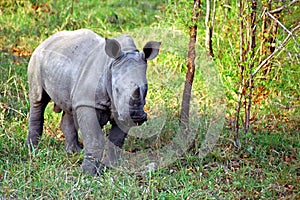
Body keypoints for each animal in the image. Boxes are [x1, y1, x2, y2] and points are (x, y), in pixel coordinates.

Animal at [27, 28, 161, 175]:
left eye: (146, 89)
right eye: (117, 89)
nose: (136, 116)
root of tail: (47, 39)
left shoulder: (121, 110)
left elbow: (117, 139)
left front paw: (113, 166)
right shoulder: (88, 103)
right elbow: (94, 138)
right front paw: (89, 173)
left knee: (69, 107)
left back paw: (73, 151)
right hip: (37, 58)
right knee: (38, 100)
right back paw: (33, 149)